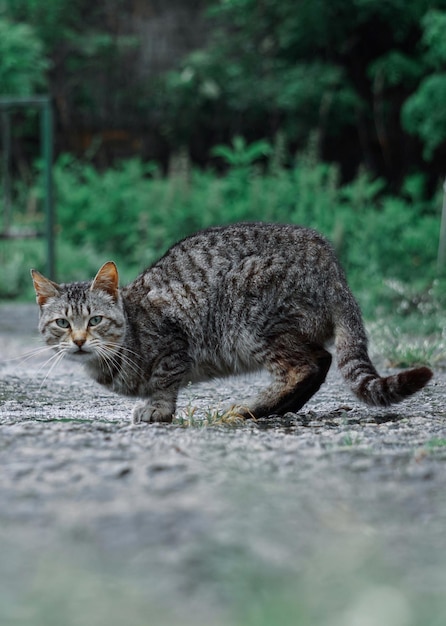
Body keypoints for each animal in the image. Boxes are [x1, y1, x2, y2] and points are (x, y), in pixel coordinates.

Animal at [30, 222, 432, 422]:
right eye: (62, 323)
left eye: (95, 320)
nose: (79, 341)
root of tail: (332, 266)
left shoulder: (174, 341)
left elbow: (163, 381)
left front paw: (157, 409)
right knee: (321, 361)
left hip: (250, 317)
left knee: (307, 365)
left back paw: (253, 407)